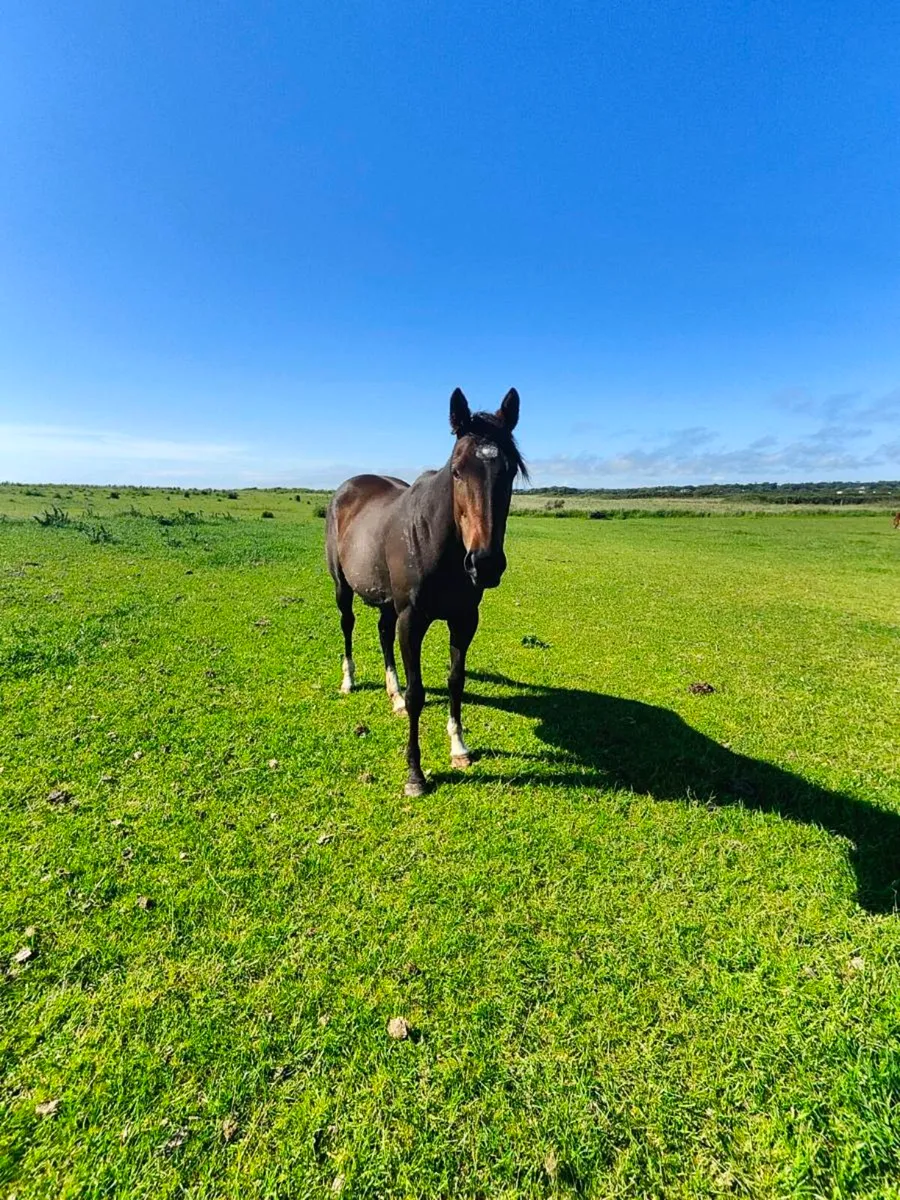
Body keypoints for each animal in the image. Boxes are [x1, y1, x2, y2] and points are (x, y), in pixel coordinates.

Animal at [325, 387, 526, 796]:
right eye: (457, 470)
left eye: (510, 470)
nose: (485, 564)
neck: (438, 543)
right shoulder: (413, 621)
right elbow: (419, 692)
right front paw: (415, 775)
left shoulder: (464, 620)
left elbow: (456, 681)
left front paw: (459, 748)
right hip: (343, 589)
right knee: (348, 625)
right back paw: (349, 680)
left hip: (388, 603)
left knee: (383, 634)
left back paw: (393, 695)